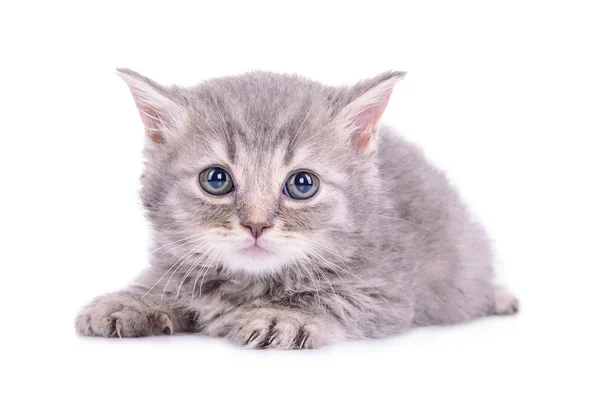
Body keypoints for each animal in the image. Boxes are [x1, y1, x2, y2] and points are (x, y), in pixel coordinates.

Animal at [75, 69, 516, 350]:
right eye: (215, 180)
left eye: (302, 184)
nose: (256, 224)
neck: (248, 285)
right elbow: (165, 282)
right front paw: (130, 302)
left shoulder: (388, 292)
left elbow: (334, 299)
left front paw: (284, 316)